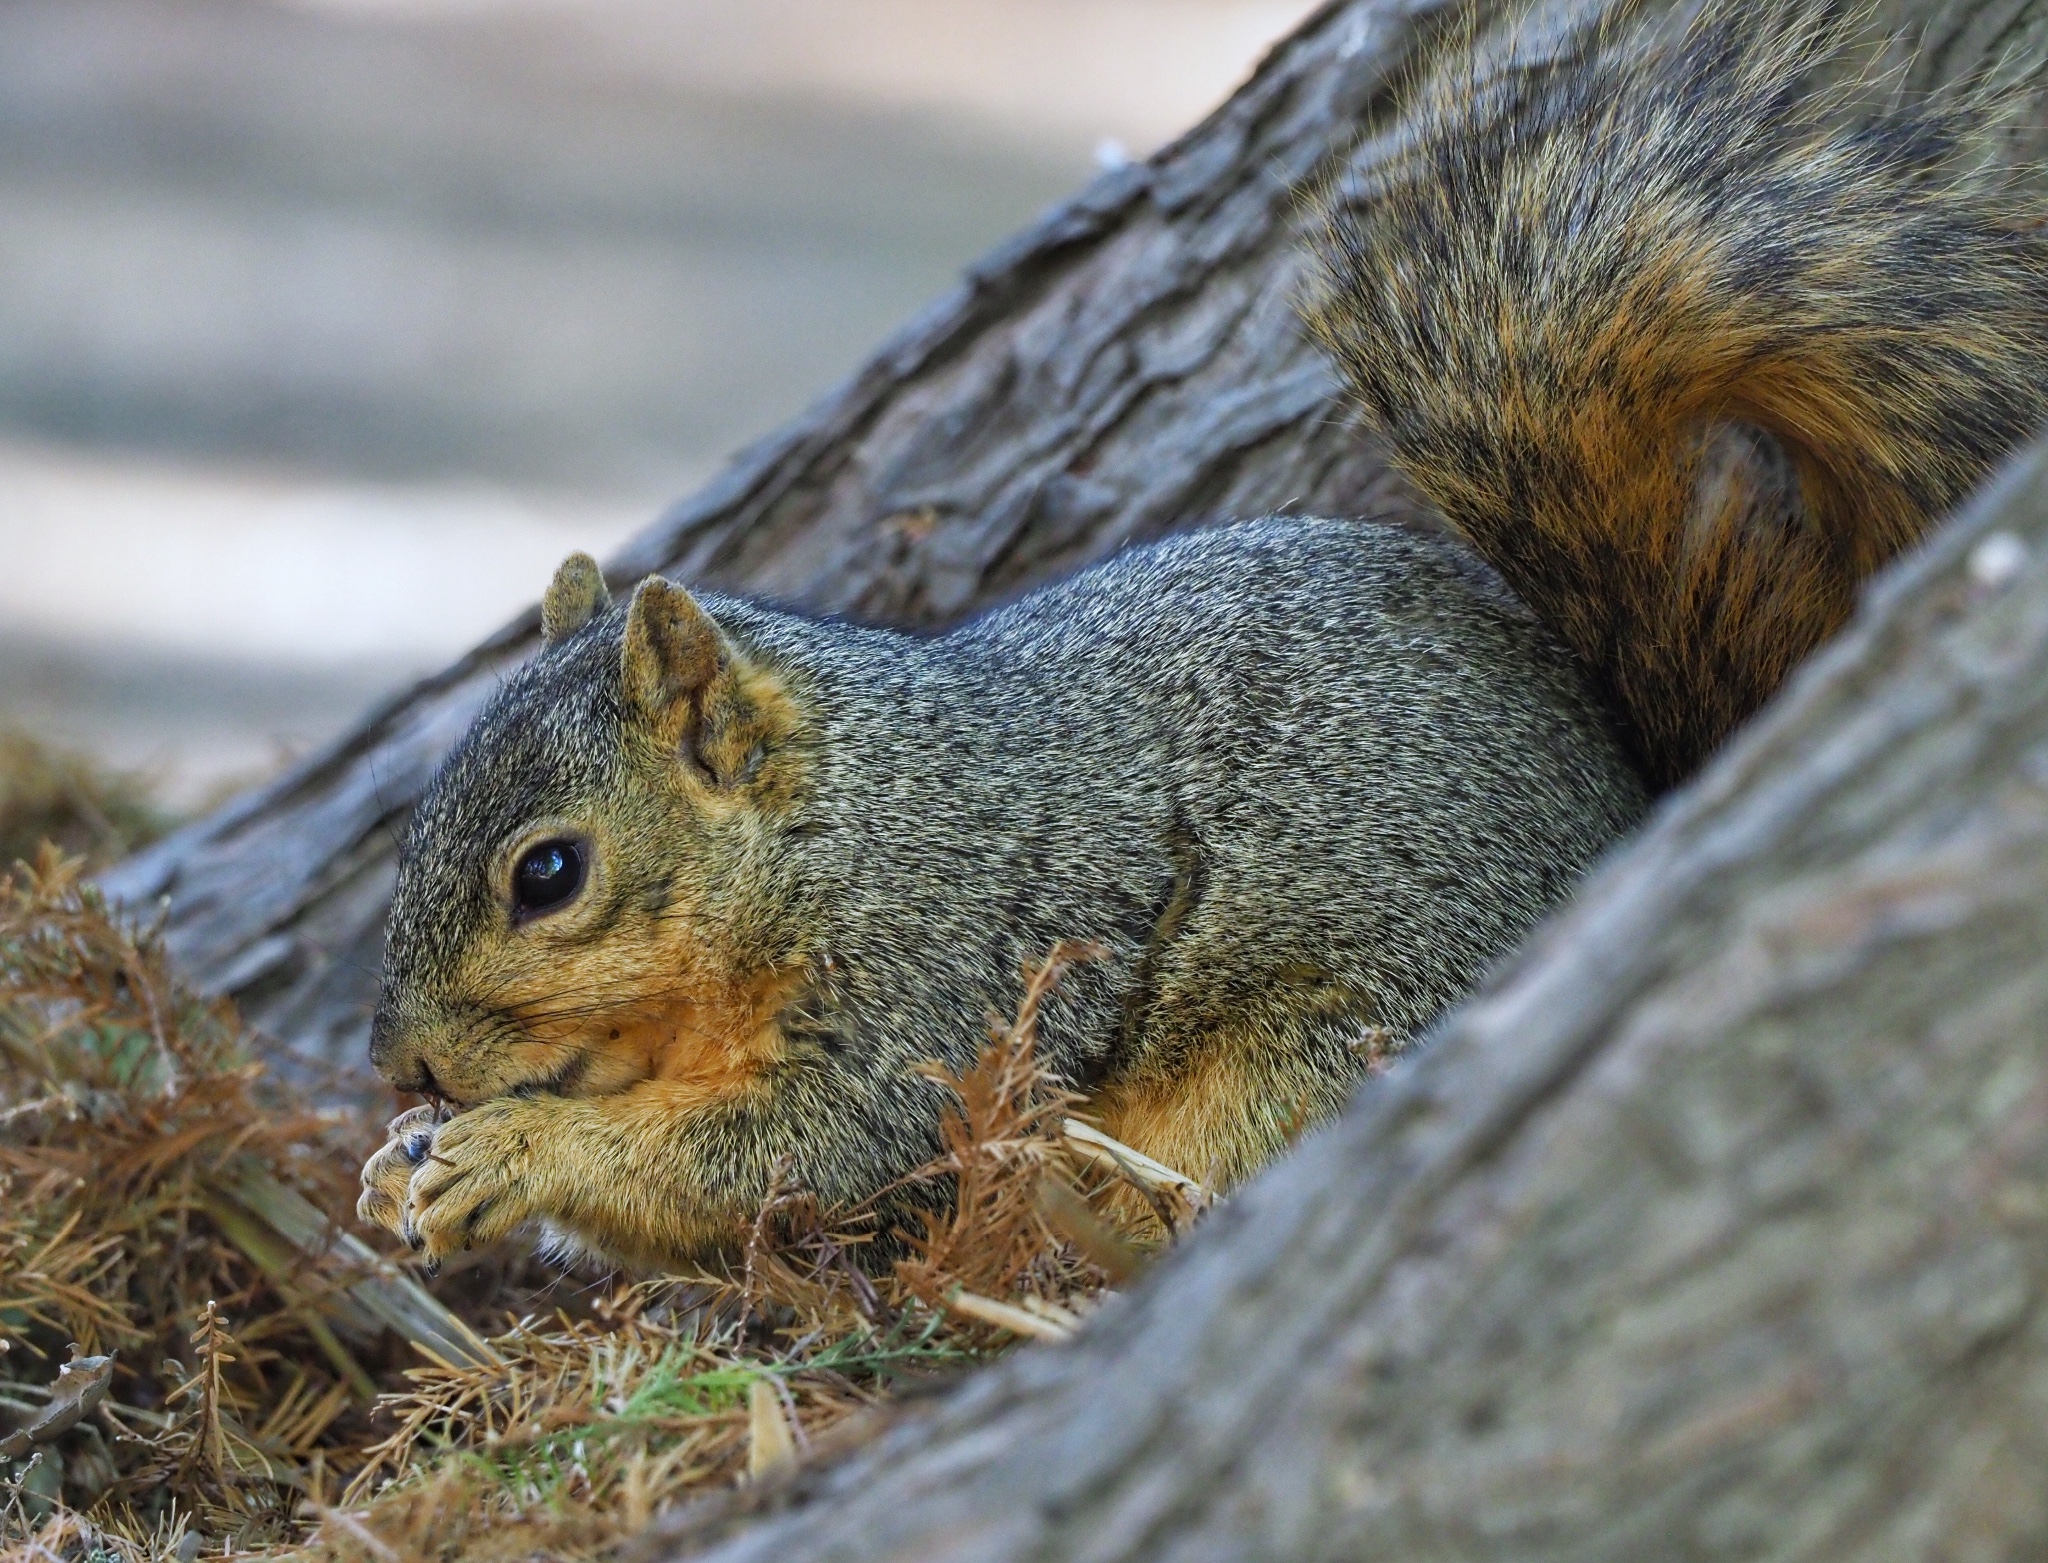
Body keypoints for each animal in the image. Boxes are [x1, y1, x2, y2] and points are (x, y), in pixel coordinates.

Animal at [352, 3, 2048, 1270]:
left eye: (548, 872)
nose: (403, 1069)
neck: (846, 827)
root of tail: (1641, 802)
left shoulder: (937, 986)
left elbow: (790, 1156)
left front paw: (511, 1151)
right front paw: (404, 1162)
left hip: (1311, 1048)